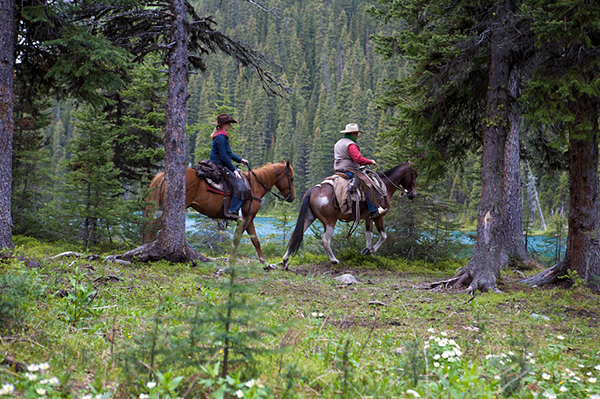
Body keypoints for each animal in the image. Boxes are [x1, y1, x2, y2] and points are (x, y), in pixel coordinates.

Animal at [145, 161, 296, 264]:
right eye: (292, 178)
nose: (292, 198)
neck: (255, 187)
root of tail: (165, 175)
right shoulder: (246, 218)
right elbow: (238, 239)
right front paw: (231, 261)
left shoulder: (249, 219)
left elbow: (255, 241)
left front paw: (264, 262)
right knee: (153, 226)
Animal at [282, 162, 418, 268]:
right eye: (414, 175)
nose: (413, 194)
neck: (384, 187)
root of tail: (312, 190)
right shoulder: (379, 216)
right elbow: (384, 236)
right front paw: (371, 250)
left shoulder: (369, 217)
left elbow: (369, 235)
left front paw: (367, 251)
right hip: (330, 221)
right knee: (325, 241)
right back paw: (334, 260)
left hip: (309, 218)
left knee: (295, 236)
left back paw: (285, 260)